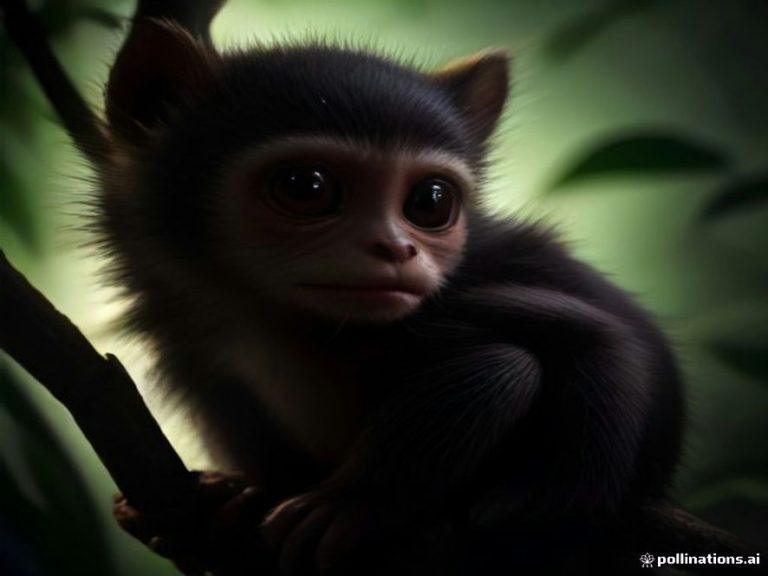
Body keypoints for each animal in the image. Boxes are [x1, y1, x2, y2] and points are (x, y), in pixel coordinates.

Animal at [4, 1, 686, 575]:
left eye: (430, 202)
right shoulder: (185, 327)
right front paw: (233, 494)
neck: (273, 319)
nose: (396, 248)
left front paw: (354, 504)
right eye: (306, 187)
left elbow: (524, 365)